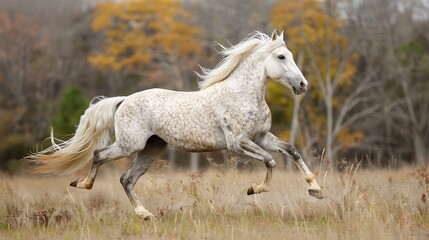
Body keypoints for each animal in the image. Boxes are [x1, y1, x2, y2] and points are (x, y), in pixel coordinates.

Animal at [25, 31, 320, 220]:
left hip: (152, 149)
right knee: (99, 155)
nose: (302, 85)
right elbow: (271, 161)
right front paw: (254, 189)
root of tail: (123, 100)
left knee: (127, 178)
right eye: (281, 57)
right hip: (129, 145)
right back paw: (83, 184)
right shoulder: (238, 143)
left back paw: (144, 214)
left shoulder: (261, 137)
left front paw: (315, 189)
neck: (243, 94)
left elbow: (291, 150)